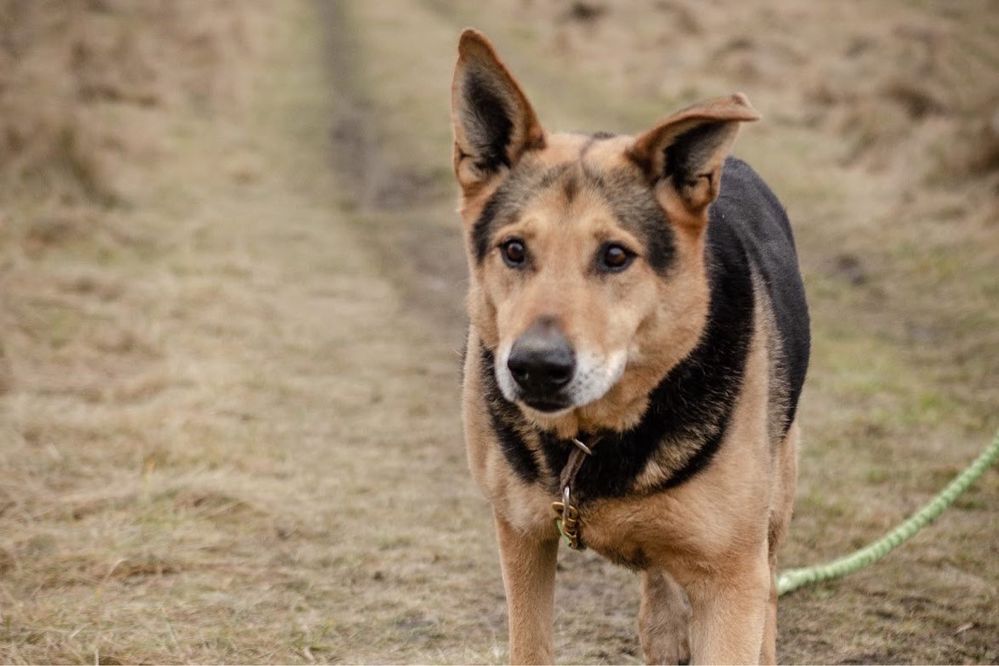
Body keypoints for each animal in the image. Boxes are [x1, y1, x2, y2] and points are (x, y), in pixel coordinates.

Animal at [450, 28, 808, 660]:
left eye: (616, 255)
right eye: (514, 250)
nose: (535, 367)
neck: (592, 436)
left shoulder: (732, 581)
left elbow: (747, 603)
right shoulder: (522, 538)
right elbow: (531, 645)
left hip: (775, 499)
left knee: (767, 585)